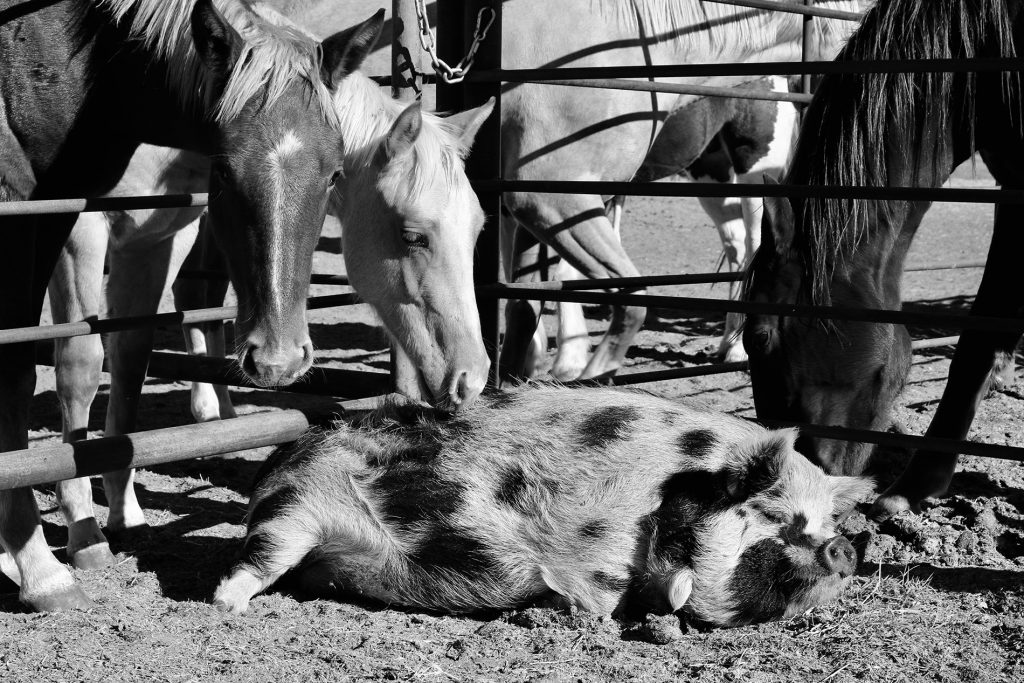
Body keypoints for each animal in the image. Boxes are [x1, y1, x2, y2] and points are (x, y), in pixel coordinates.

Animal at [33, 10, 493, 613]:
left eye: (478, 229)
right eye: (413, 234)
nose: (473, 377)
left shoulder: (162, 236)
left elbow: (131, 357)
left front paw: (124, 510)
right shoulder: (78, 231)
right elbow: (81, 364)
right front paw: (83, 529)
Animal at [213, 385, 873, 627]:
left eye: (827, 521)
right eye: (777, 516)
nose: (847, 545)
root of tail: (281, 457)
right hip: (297, 505)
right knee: (252, 564)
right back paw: (231, 609)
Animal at [520, 75, 799, 381]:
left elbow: (560, 272)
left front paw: (568, 360)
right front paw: (531, 353)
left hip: (754, 167)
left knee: (753, 246)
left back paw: (738, 350)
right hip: (710, 170)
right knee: (736, 245)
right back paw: (729, 341)